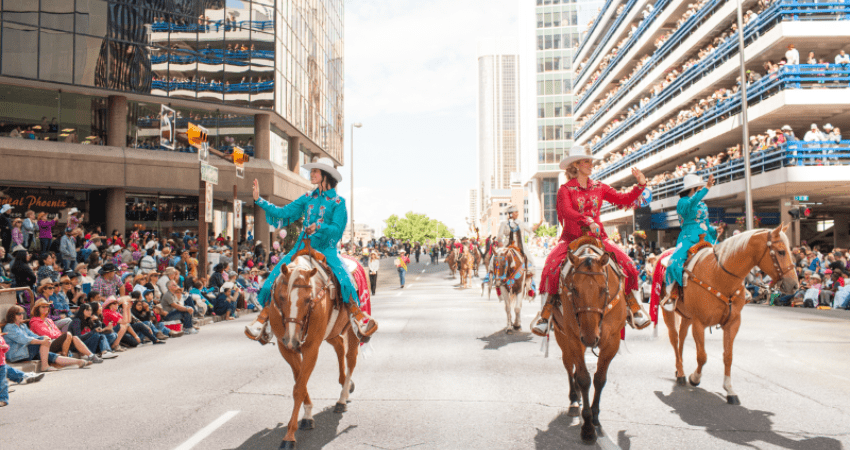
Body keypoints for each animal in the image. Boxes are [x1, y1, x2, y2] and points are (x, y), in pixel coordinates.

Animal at [264, 241, 358, 448]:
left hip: (352, 328)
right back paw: (344, 384)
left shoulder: (311, 348)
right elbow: (300, 379)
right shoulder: (286, 348)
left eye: (308, 300)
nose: (292, 339)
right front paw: (307, 415)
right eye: (281, 297)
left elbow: (299, 387)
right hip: (331, 332)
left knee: (351, 358)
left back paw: (342, 398)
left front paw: (289, 436)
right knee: (339, 345)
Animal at [548, 237, 628, 444]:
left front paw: (596, 416)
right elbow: (584, 379)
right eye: (574, 290)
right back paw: (574, 401)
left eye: (604, 289)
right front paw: (587, 428)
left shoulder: (612, 341)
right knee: (569, 367)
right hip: (563, 337)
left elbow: (600, 379)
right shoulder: (575, 339)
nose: (591, 338)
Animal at [652, 224, 800, 404]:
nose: (794, 285)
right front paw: (695, 378)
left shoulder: (732, 323)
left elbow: (728, 356)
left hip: (686, 316)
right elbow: (702, 356)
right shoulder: (699, 323)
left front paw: (729, 390)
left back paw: (679, 370)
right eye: (781, 252)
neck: (719, 276)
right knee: (674, 338)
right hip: (669, 312)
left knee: (681, 337)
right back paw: (681, 373)